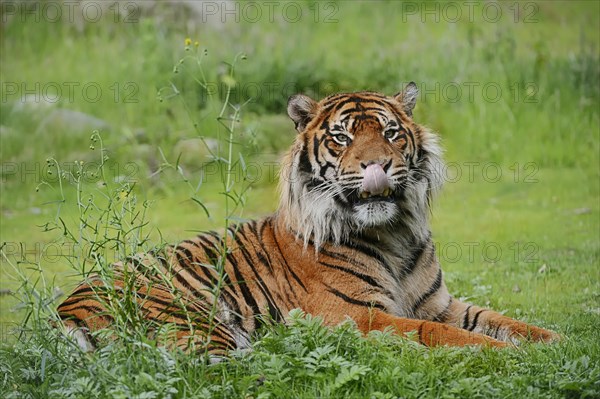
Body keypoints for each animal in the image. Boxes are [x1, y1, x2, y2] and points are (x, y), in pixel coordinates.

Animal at [56, 83, 556, 356]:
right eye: (342, 138)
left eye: (391, 133)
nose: (378, 166)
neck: (392, 231)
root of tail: (63, 309)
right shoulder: (357, 315)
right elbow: (438, 334)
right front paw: (504, 355)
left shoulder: (439, 304)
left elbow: (505, 321)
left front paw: (556, 342)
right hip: (195, 318)